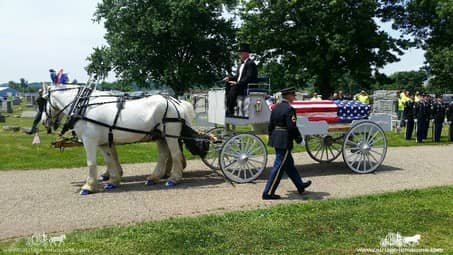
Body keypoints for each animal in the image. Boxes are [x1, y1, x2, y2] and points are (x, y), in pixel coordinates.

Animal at [43, 84, 195, 194]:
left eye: (42, 101)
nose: (45, 122)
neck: (83, 106)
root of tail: (176, 102)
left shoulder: (89, 140)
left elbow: (91, 163)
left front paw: (88, 187)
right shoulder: (104, 142)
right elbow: (110, 160)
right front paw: (113, 181)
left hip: (170, 135)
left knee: (175, 154)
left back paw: (174, 179)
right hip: (160, 136)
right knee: (164, 155)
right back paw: (154, 178)